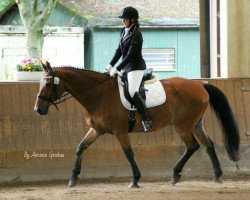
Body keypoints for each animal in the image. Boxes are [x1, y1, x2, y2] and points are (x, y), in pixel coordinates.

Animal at [34, 60, 239, 188]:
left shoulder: (120, 131)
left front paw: (135, 180)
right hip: (195, 124)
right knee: (208, 144)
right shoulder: (97, 130)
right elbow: (80, 147)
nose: (38, 109)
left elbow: (129, 153)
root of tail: (200, 85)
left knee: (193, 146)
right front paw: (73, 177)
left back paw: (175, 174)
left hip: (183, 126)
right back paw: (217, 176)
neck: (99, 94)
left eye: (48, 85)